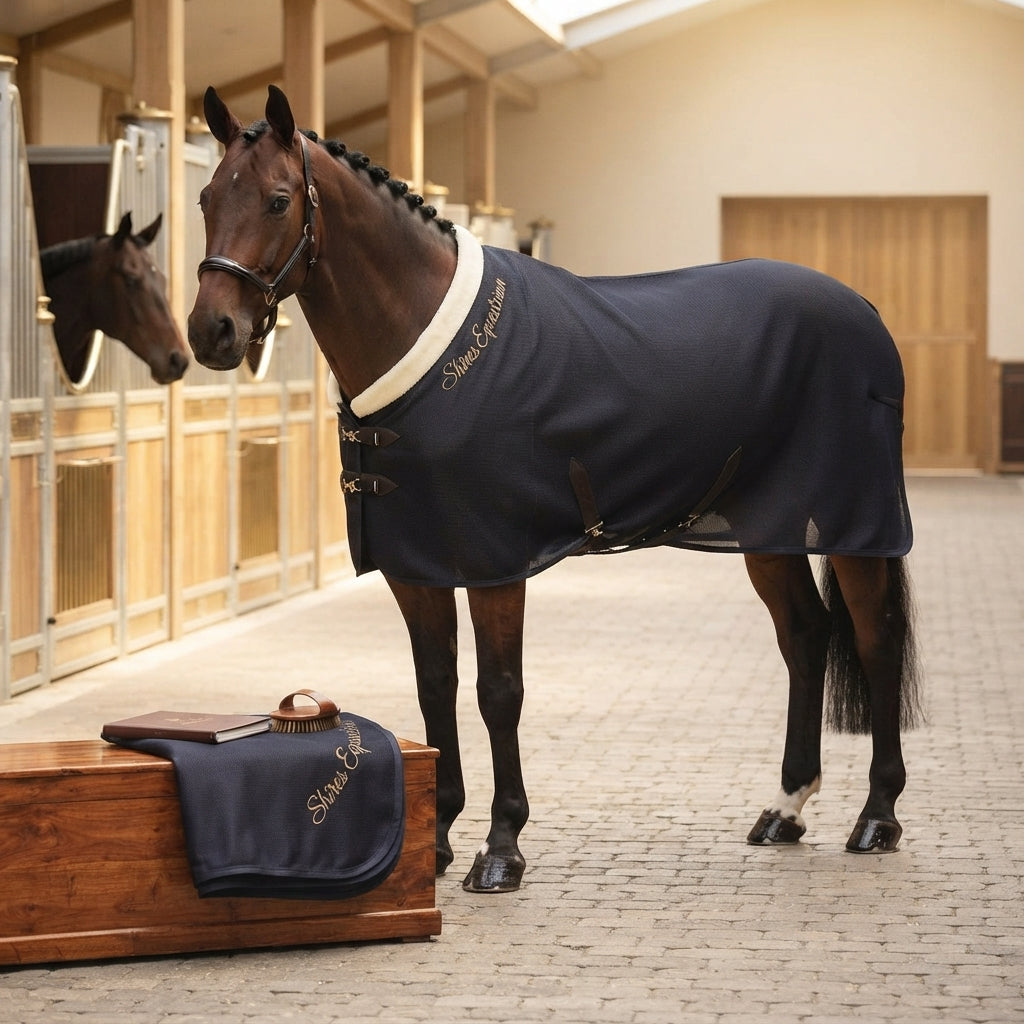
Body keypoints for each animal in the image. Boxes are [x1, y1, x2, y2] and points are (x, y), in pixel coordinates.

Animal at [187, 85, 922, 894]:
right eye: (206, 198)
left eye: (278, 200)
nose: (211, 332)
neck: (425, 344)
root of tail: (863, 309)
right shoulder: (418, 567)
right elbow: (435, 685)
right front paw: (437, 841)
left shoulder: (495, 563)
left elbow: (497, 691)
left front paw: (501, 847)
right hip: (770, 531)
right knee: (805, 636)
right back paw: (785, 809)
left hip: (855, 524)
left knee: (875, 640)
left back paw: (876, 818)